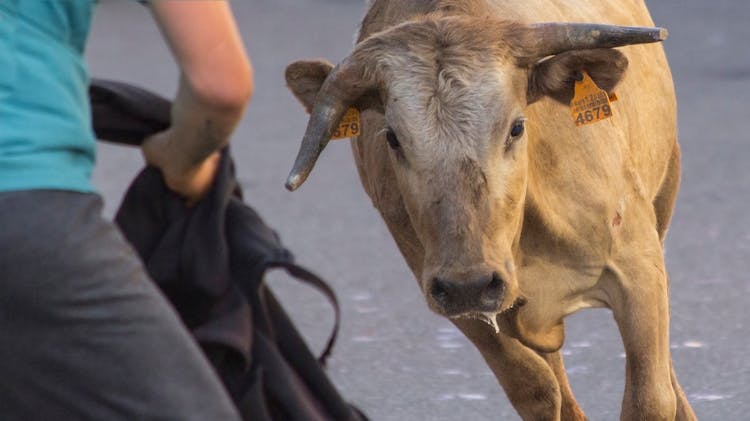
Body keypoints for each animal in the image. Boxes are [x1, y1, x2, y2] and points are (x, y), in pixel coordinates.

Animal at [284, 1, 696, 418]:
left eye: (516, 127)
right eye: (394, 139)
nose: (470, 282)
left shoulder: (638, 266)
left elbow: (649, 396)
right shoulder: (453, 298)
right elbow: (534, 387)